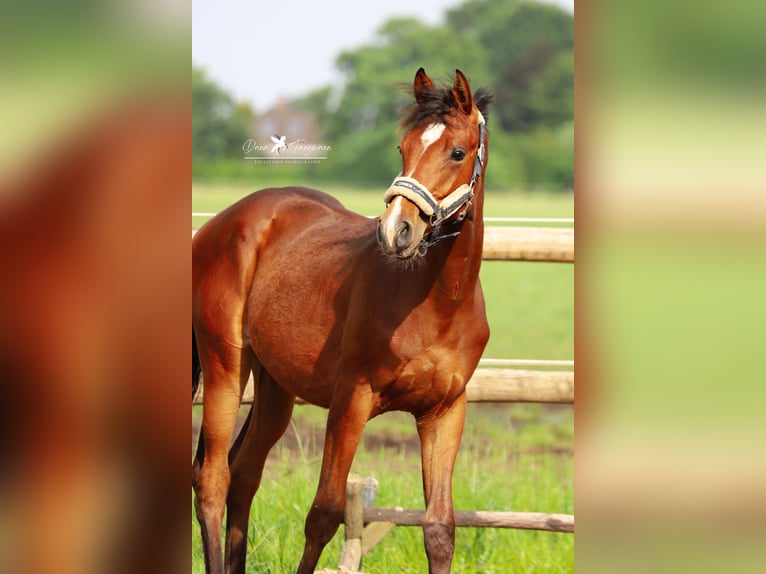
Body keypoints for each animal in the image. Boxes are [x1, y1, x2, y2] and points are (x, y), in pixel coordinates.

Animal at [192, 70, 492, 572]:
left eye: (457, 152)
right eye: (402, 147)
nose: (397, 230)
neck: (438, 303)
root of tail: (218, 225)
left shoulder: (445, 411)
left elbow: (439, 528)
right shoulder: (351, 401)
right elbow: (324, 513)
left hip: (276, 388)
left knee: (244, 473)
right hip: (224, 367)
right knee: (213, 479)